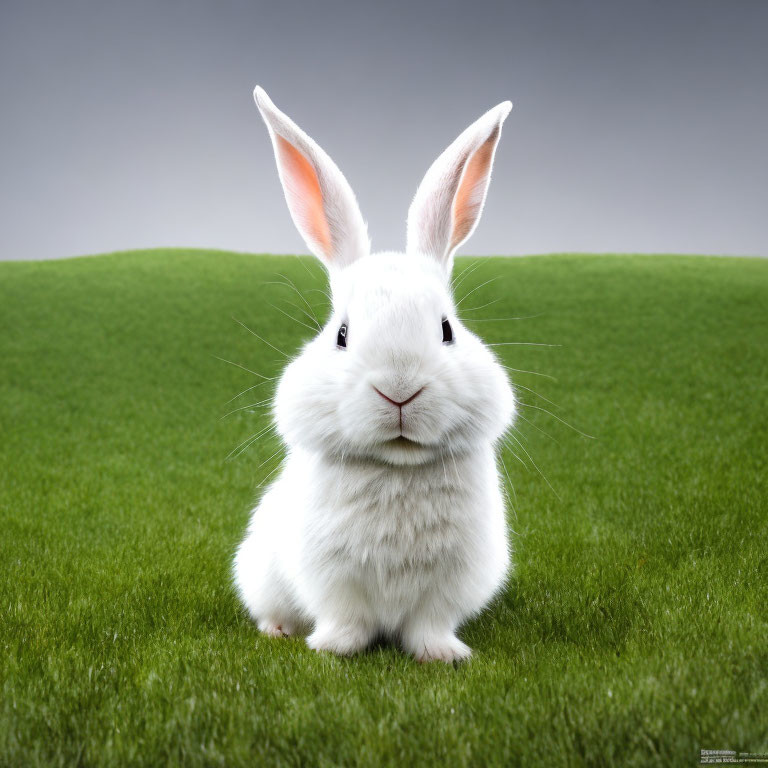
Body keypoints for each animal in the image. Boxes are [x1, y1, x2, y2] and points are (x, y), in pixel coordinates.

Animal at [231, 84, 512, 660]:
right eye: (341, 334)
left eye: (446, 329)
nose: (399, 390)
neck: (396, 467)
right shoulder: (331, 576)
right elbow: (348, 618)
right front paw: (331, 649)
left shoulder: (449, 583)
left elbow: (430, 622)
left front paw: (443, 656)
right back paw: (277, 630)